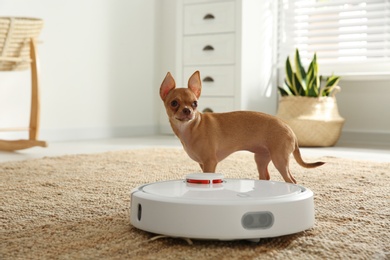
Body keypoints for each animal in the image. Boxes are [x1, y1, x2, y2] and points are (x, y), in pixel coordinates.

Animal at [160, 71, 324, 183]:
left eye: (195, 103)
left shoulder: (210, 162)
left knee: (291, 180)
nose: (188, 110)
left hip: (280, 160)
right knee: (266, 176)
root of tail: (291, 130)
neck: (191, 128)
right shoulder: (203, 164)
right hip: (261, 158)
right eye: (174, 103)